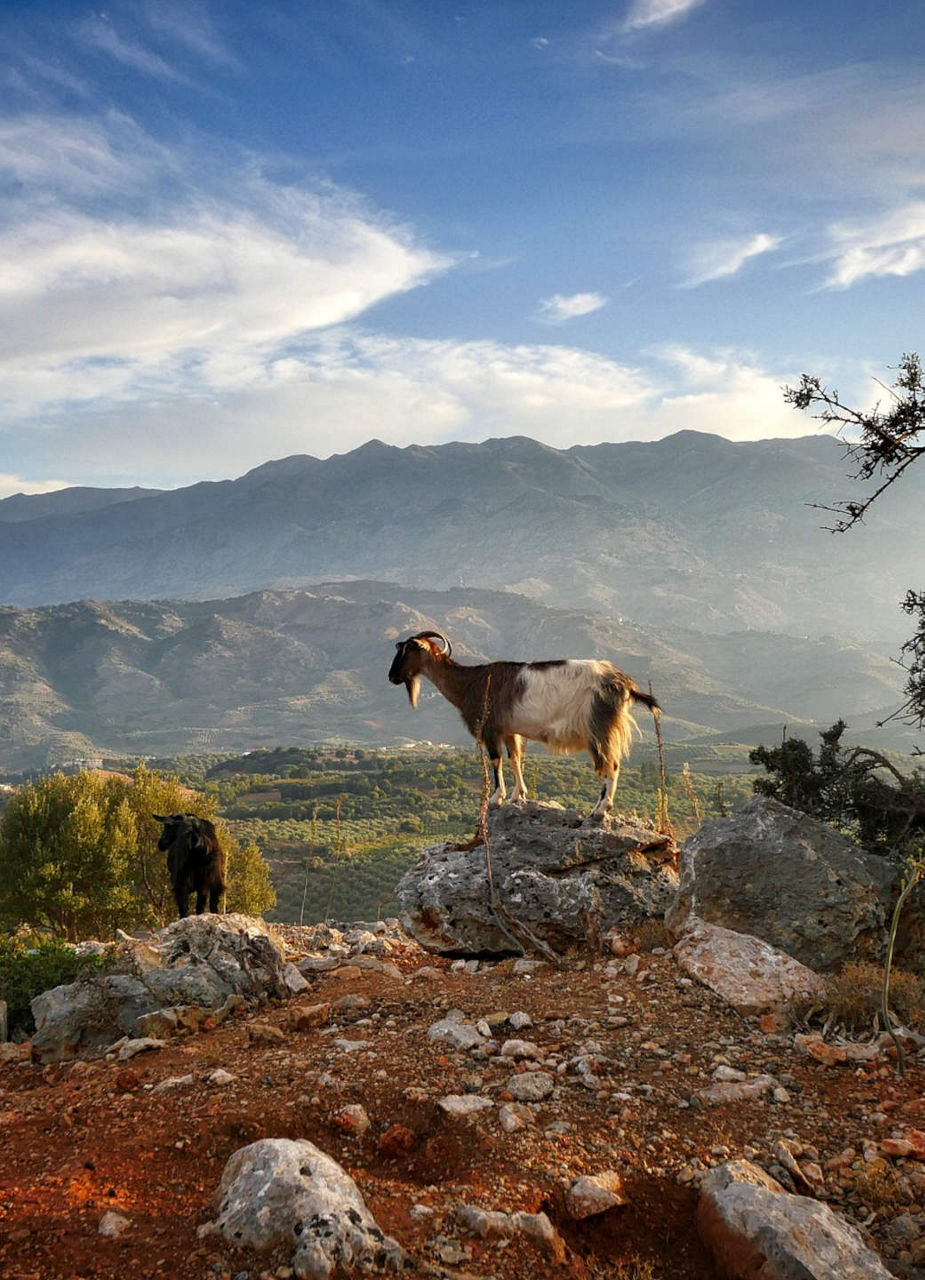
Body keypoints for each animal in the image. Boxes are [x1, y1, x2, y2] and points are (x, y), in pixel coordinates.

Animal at [386, 629, 660, 819]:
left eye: (409, 650)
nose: (391, 677)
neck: (470, 682)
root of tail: (625, 685)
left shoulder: (490, 727)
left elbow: (496, 760)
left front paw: (496, 798)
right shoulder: (509, 730)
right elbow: (514, 758)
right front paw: (518, 795)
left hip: (599, 727)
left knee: (610, 766)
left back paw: (600, 810)